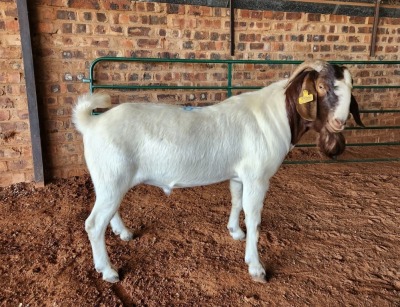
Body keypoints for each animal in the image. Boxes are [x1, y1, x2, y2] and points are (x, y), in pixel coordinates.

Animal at [72, 59, 366, 284]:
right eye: (321, 86)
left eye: (352, 87)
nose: (339, 122)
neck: (276, 116)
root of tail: (92, 123)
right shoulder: (258, 177)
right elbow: (255, 218)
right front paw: (256, 268)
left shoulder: (239, 174)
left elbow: (236, 201)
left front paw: (235, 231)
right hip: (112, 177)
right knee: (93, 224)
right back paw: (108, 271)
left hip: (110, 179)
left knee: (109, 211)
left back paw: (123, 233)